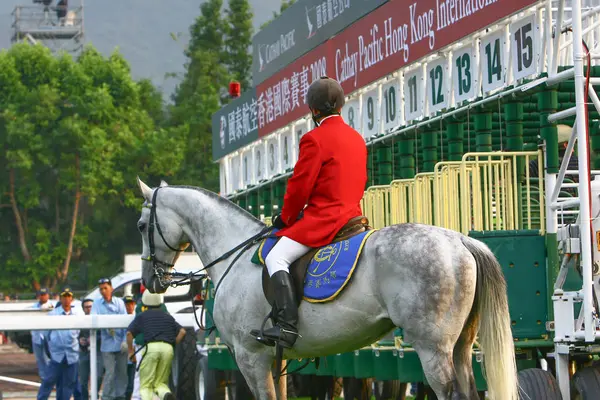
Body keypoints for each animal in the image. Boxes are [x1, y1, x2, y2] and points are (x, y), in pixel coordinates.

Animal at [135, 180, 516, 398]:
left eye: (140, 225)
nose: (150, 280)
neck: (235, 252)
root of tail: (461, 240)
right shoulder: (275, 359)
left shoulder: (250, 356)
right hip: (460, 347)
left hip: (432, 348)